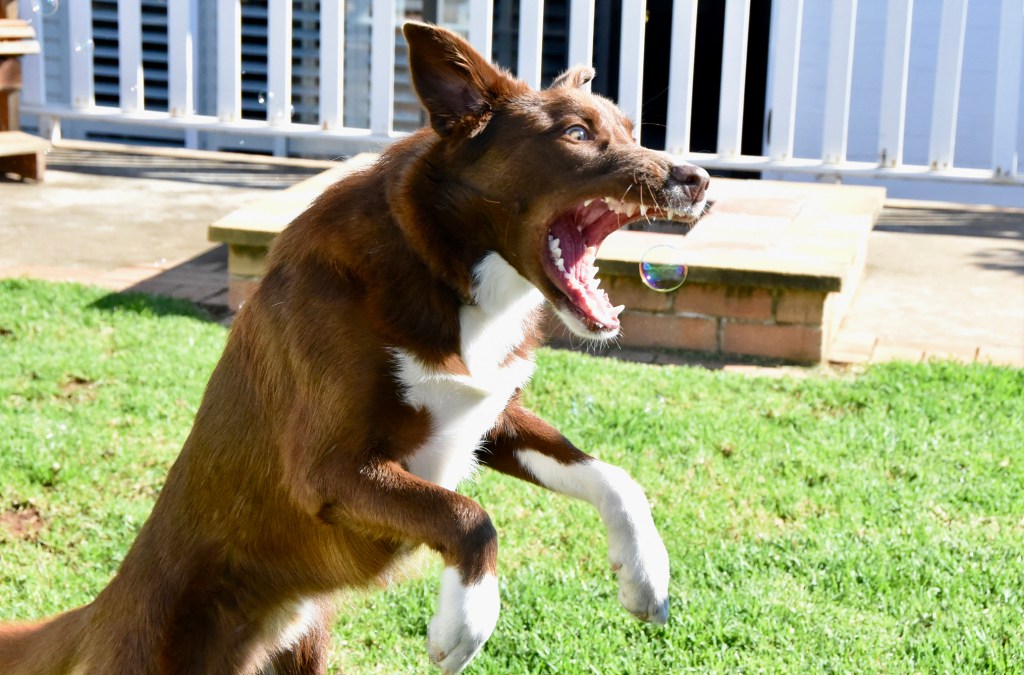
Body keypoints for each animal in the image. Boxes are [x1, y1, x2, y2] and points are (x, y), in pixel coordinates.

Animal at [0, 22, 709, 674]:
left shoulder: (489, 415)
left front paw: (646, 575)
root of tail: (99, 612)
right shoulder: (329, 470)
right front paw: (465, 621)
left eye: (629, 130)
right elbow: (468, 515)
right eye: (578, 134)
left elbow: (614, 476)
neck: (441, 269)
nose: (698, 179)